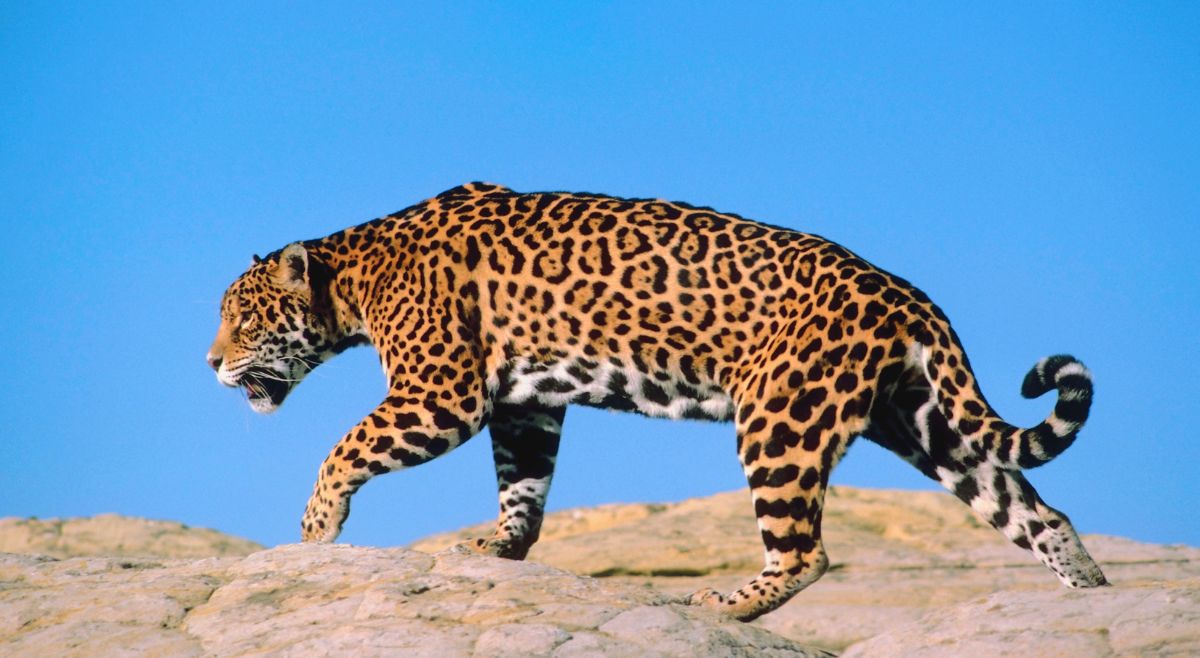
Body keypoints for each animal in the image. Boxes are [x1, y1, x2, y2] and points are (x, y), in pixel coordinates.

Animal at [207, 182, 1108, 621]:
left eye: (242, 319)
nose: (210, 362)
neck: (352, 277)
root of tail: (907, 296)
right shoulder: (523, 401)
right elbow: (523, 485)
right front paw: (500, 547)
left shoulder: (442, 393)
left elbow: (344, 447)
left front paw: (316, 529)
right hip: (922, 423)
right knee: (1039, 512)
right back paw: (1094, 592)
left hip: (781, 418)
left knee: (806, 552)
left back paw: (728, 607)